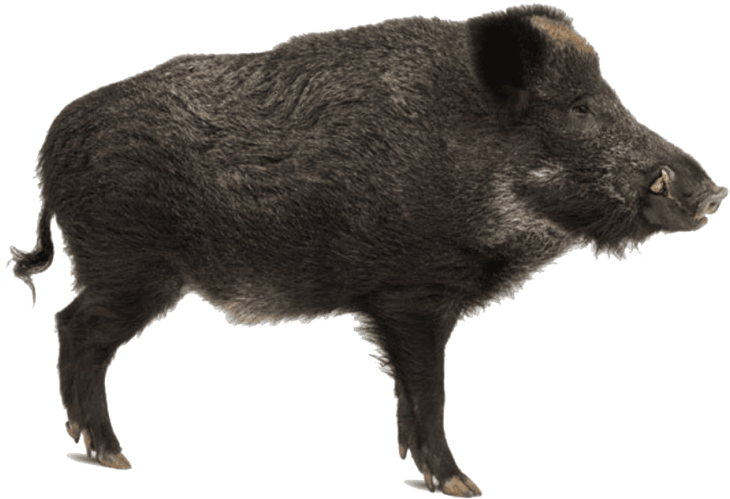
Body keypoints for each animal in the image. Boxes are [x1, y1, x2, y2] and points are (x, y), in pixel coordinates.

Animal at [7, 4, 726, 496]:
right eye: (579, 107)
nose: (714, 191)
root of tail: (50, 150)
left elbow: (409, 395)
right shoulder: (410, 296)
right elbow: (429, 389)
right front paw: (462, 486)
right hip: (131, 263)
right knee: (74, 327)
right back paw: (113, 455)